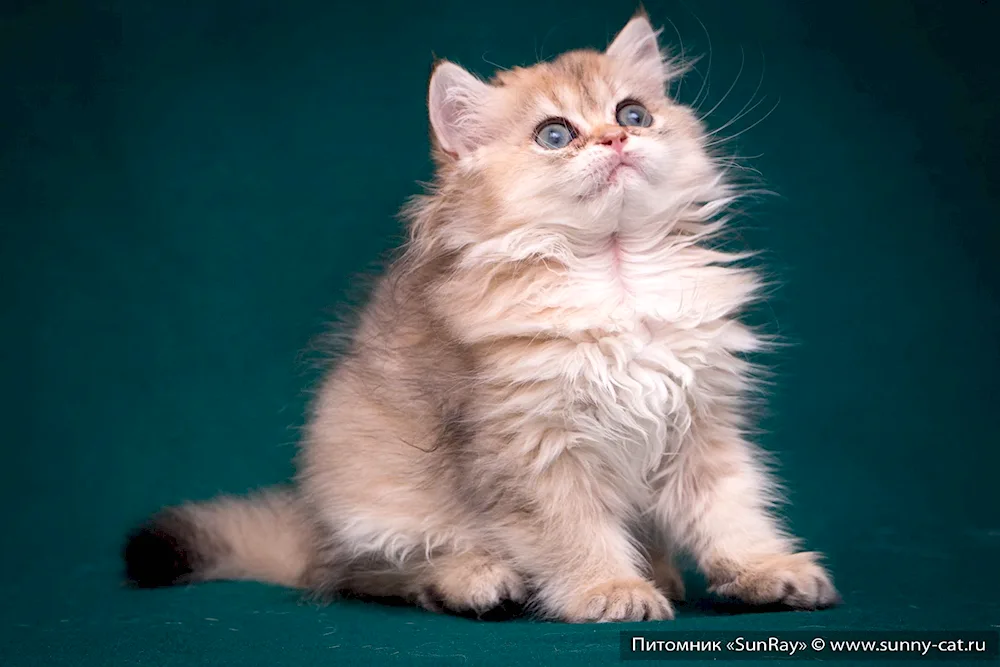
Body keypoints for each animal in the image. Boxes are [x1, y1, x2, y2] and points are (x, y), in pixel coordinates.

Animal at [127, 13, 844, 624]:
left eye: (632, 113)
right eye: (555, 135)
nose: (616, 138)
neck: (616, 275)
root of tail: (311, 530)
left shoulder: (702, 423)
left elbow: (731, 511)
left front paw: (765, 569)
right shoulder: (532, 449)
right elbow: (574, 533)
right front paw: (608, 588)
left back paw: (662, 572)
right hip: (370, 496)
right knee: (370, 574)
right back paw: (479, 580)